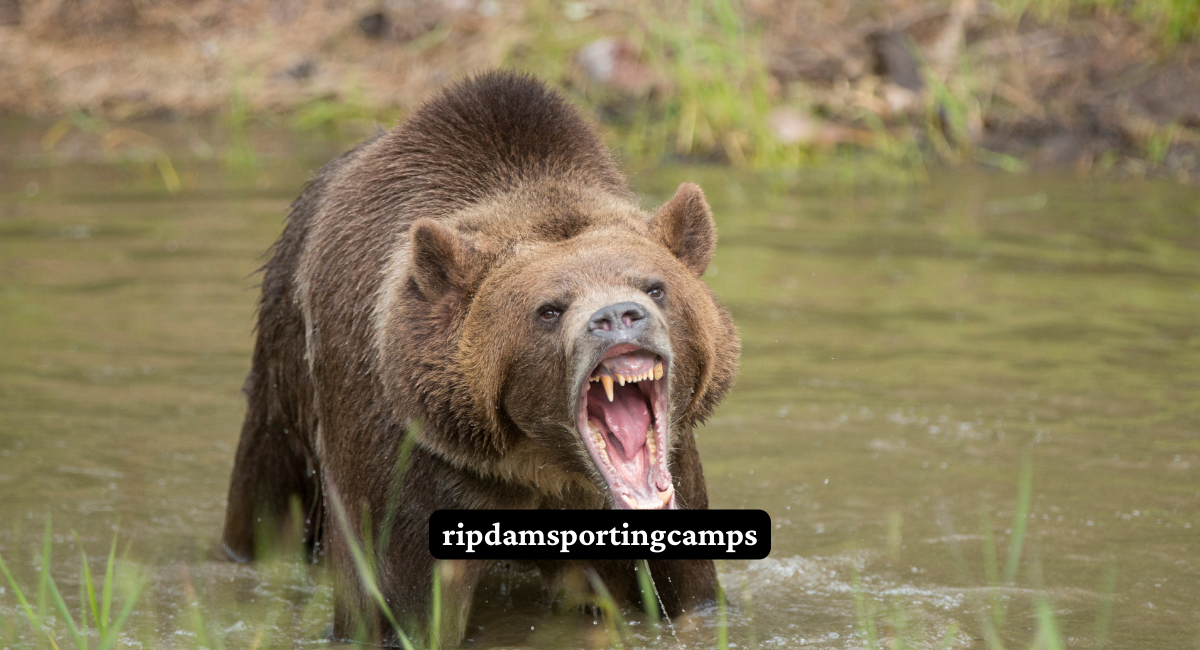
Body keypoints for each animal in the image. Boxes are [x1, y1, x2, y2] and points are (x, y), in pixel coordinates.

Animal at [220, 71, 734, 647]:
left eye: (654, 286)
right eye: (549, 309)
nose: (618, 316)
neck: (539, 462)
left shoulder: (670, 476)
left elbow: (686, 595)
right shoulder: (411, 461)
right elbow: (398, 607)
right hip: (286, 373)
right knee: (267, 497)